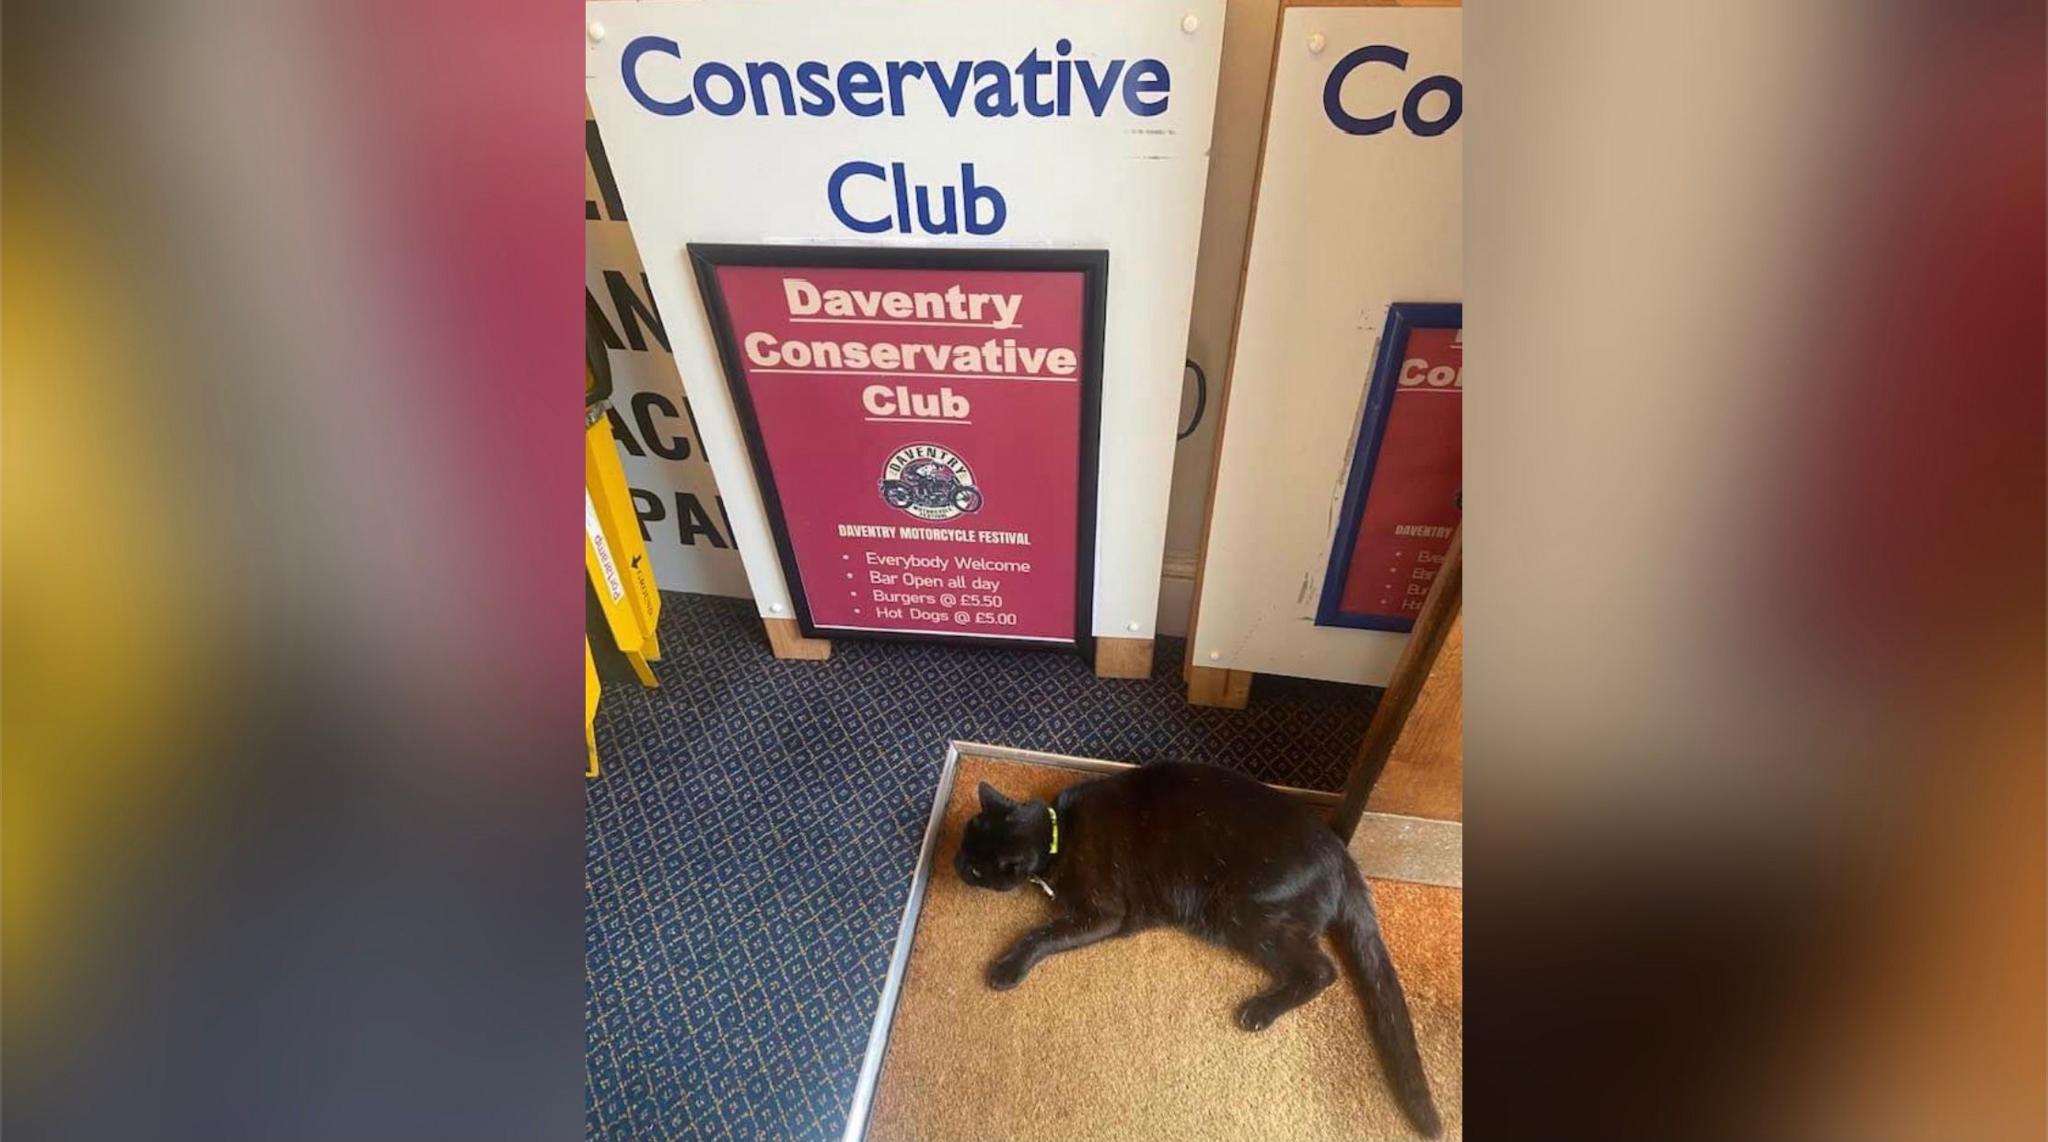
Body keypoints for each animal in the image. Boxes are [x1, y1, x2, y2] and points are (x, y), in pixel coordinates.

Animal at [954, 765, 1441, 1137]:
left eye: (976, 868)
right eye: (963, 842)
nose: (955, 863)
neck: (1059, 832)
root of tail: (1343, 858)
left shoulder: (1103, 914)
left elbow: (1039, 935)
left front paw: (1008, 967)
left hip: (1235, 909)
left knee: (1322, 969)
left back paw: (1260, 1011)